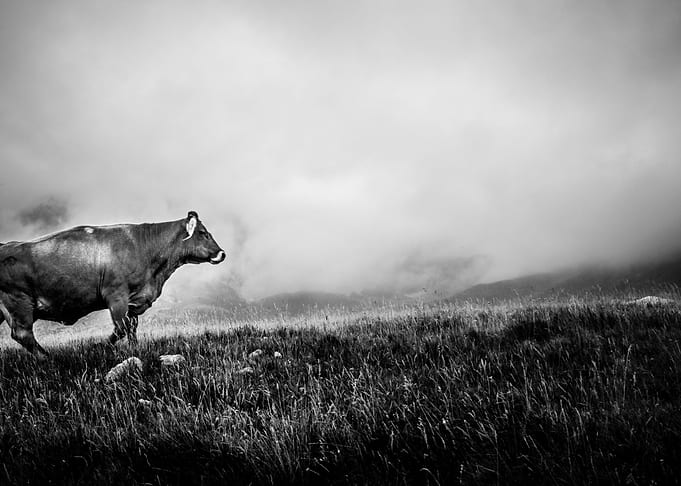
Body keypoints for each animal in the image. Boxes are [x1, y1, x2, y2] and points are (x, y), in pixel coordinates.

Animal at [0, 211, 226, 358]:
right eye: (203, 233)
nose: (222, 253)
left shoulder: (134, 301)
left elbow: (132, 328)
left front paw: (135, 349)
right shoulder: (116, 296)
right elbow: (121, 328)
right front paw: (98, 345)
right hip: (18, 302)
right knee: (23, 334)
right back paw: (48, 358)